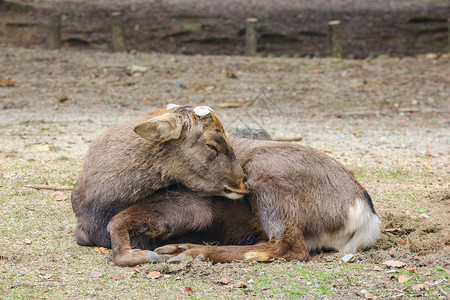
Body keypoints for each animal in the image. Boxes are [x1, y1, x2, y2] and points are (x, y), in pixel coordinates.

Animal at [104, 124, 380, 264]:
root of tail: (366, 214)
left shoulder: (193, 203)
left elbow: (117, 220)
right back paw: (179, 249)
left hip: (266, 176)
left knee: (290, 247)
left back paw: (189, 252)